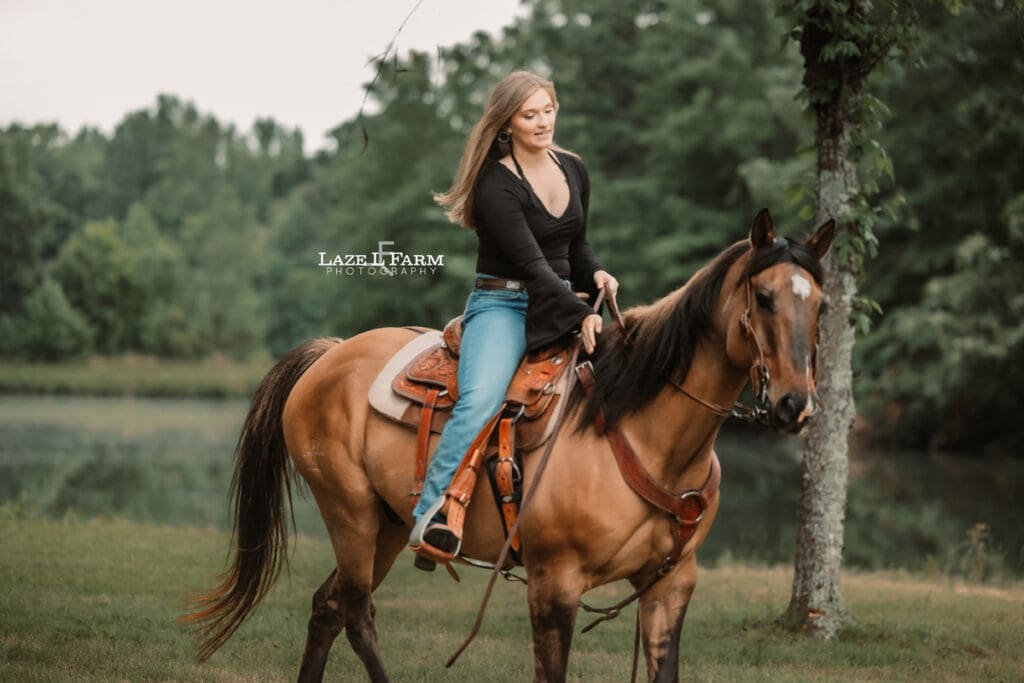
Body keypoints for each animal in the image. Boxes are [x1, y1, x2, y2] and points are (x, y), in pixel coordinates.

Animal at [185, 208, 835, 682]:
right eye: (765, 298)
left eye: (823, 305)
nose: (794, 405)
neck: (640, 430)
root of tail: (331, 352)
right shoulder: (555, 586)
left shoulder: (671, 586)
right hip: (350, 514)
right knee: (355, 610)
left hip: (389, 523)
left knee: (329, 607)